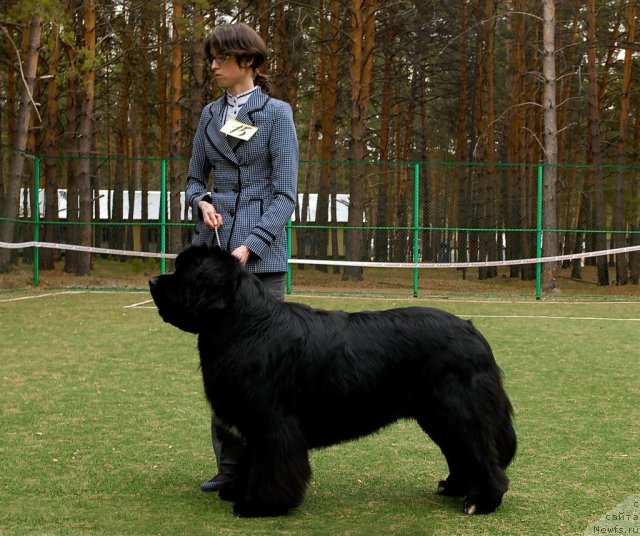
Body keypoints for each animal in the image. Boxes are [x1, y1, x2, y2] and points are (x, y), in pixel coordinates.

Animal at [149, 247, 516, 520]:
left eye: (183, 273)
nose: (152, 280)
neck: (246, 326)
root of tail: (474, 332)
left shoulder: (274, 422)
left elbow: (271, 465)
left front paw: (260, 505)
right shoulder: (255, 423)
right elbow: (251, 460)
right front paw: (237, 490)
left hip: (459, 410)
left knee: (481, 453)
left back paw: (481, 502)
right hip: (437, 415)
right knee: (460, 452)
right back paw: (454, 487)